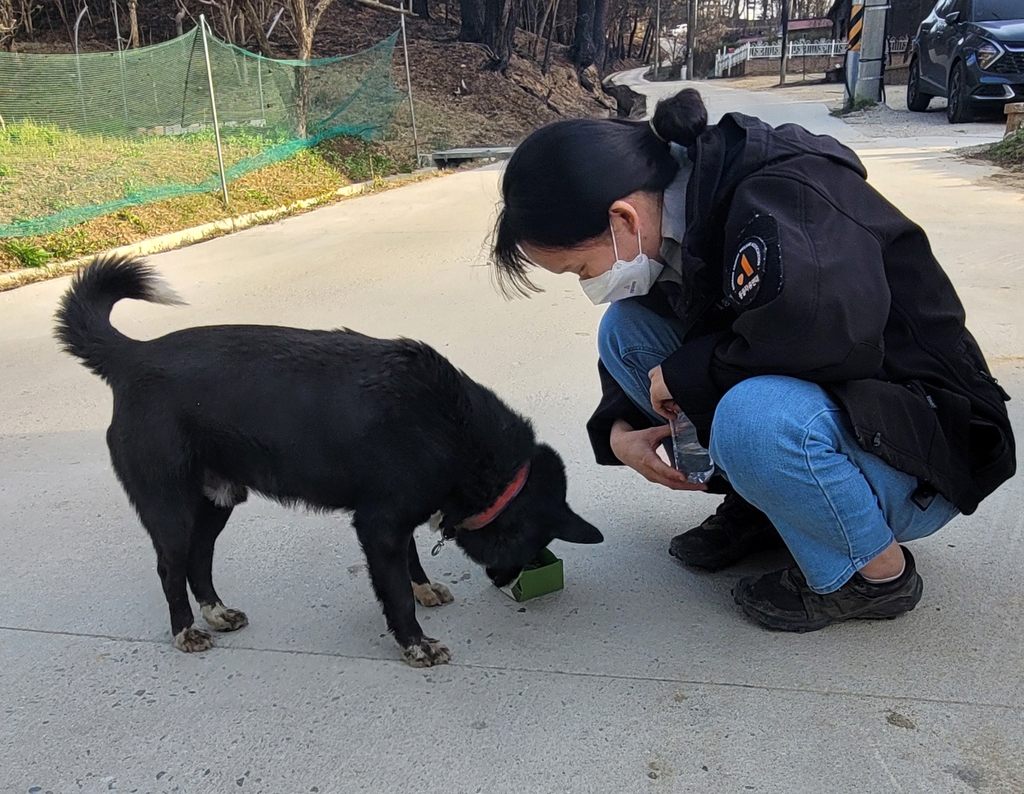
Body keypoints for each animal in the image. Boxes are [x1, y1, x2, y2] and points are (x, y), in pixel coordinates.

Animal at [56, 258, 598, 667]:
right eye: (530, 544)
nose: (510, 585)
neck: (454, 427)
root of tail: (132, 357)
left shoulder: (394, 520)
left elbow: (411, 561)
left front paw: (423, 590)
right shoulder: (379, 524)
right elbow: (395, 592)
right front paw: (415, 643)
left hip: (217, 501)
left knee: (199, 559)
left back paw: (216, 612)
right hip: (170, 507)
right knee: (171, 567)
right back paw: (185, 630)